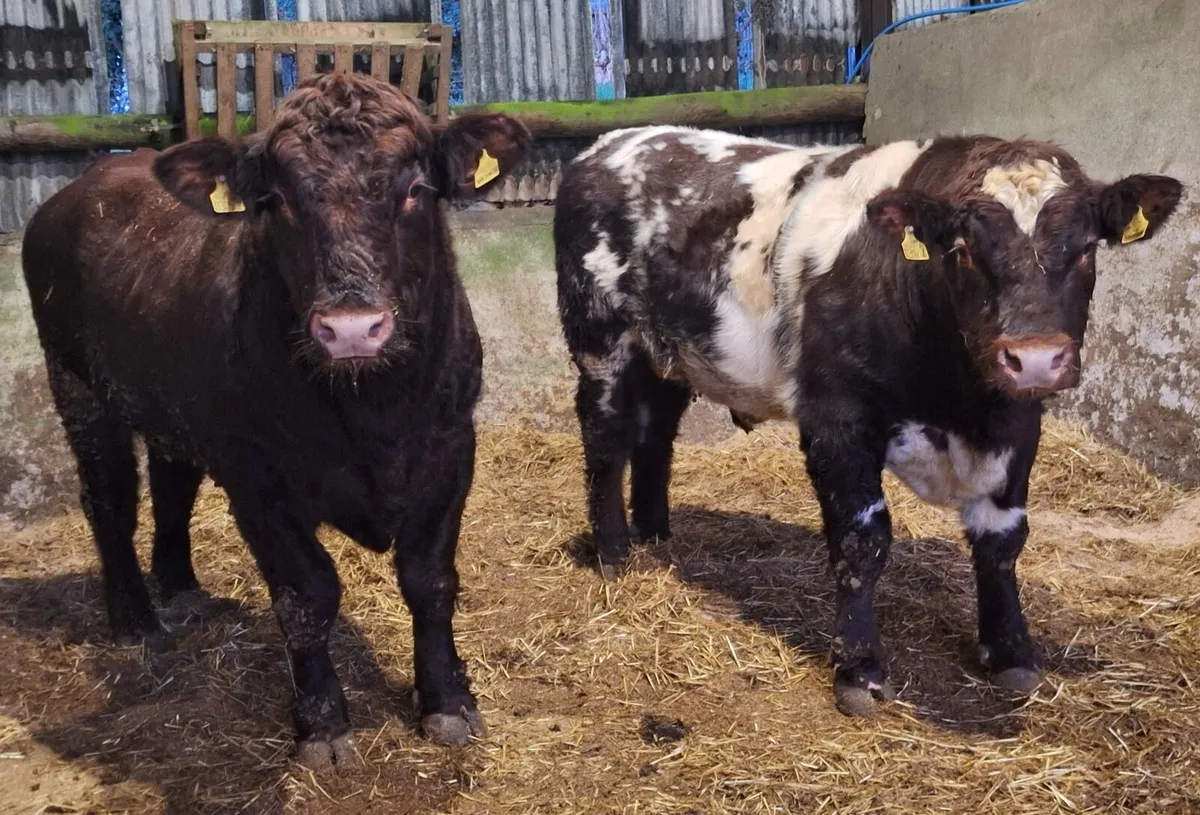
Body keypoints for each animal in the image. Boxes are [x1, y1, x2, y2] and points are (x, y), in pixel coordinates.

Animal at [21, 73, 530, 766]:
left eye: (415, 190)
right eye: (276, 199)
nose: (352, 328)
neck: (376, 412)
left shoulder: (450, 452)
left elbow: (430, 581)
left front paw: (447, 703)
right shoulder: (257, 482)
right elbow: (306, 597)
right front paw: (323, 726)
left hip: (172, 402)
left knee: (173, 486)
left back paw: (181, 588)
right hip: (79, 388)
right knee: (110, 500)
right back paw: (135, 621)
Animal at [553, 126, 1182, 716]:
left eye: (1087, 249)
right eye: (963, 249)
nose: (1033, 357)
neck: (961, 407)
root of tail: (614, 143)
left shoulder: (1020, 423)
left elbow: (1002, 541)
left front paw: (1010, 651)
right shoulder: (838, 420)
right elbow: (863, 540)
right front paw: (859, 668)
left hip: (672, 354)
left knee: (656, 433)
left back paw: (656, 533)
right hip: (601, 339)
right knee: (606, 434)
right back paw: (613, 552)